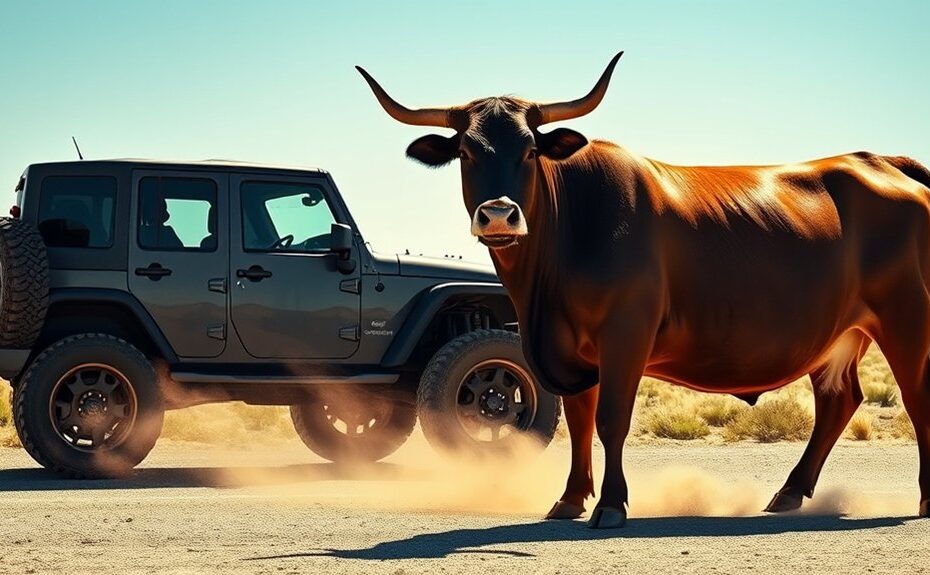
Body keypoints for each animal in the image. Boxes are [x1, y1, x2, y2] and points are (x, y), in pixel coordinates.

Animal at [358, 52, 930, 528]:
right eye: (466, 152)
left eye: (530, 151)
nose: (499, 214)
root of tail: (879, 162)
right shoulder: (568, 347)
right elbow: (580, 421)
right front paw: (569, 499)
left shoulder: (625, 333)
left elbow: (611, 419)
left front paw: (611, 505)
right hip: (843, 331)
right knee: (839, 400)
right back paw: (788, 493)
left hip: (906, 318)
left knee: (915, 394)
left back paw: (924, 498)